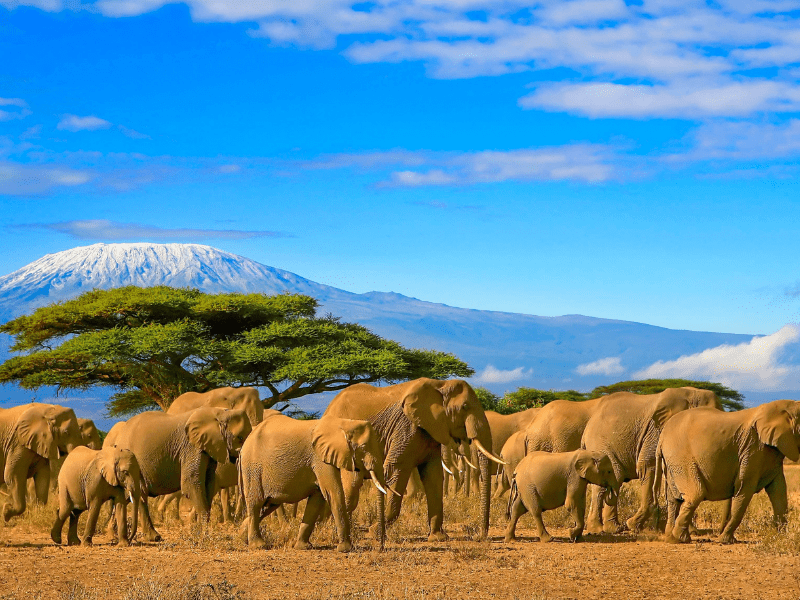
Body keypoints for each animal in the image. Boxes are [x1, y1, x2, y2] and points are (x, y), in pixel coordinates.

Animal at [104, 406, 252, 540]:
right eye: (240, 437)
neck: (220, 412)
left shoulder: (208, 449)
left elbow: (208, 484)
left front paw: (199, 533)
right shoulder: (191, 447)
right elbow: (191, 483)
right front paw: (203, 536)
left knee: (130, 496)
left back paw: (116, 536)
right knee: (139, 495)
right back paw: (147, 537)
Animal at [241, 414, 396, 552]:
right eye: (363, 448)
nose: (381, 547)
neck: (344, 423)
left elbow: (317, 498)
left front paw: (303, 547)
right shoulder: (320, 458)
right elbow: (333, 493)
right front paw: (346, 549)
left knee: (268, 505)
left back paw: (242, 535)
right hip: (252, 468)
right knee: (256, 503)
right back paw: (258, 545)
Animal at [318, 378, 500, 540]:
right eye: (465, 407)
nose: (479, 535)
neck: (440, 385)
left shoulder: (430, 431)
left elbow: (433, 476)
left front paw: (438, 537)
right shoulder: (406, 428)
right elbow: (396, 470)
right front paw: (374, 533)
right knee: (352, 484)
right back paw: (335, 532)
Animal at [580, 386, 720, 532]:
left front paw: (692, 531)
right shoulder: (656, 432)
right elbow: (647, 467)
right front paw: (632, 525)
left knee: (614, 480)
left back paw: (611, 528)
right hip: (599, 444)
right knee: (610, 480)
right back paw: (602, 529)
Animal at [656, 400, 800, 548]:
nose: (718, 533)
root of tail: (661, 439)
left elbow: (779, 491)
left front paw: (781, 538)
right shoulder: (752, 450)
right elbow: (744, 490)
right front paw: (725, 541)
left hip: (671, 463)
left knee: (673, 499)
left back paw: (671, 538)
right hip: (681, 459)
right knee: (695, 494)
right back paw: (680, 538)